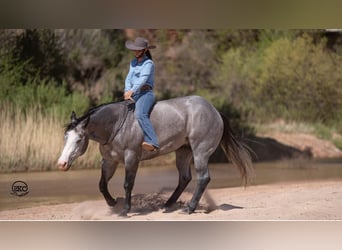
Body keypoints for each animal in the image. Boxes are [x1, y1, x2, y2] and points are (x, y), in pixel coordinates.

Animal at [56, 94, 254, 216]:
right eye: (65, 137)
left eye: (78, 140)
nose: (62, 164)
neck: (116, 125)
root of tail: (215, 111)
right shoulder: (109, 161)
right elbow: (102, 185)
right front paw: (113, 203)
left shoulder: (131, 157)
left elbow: (128, 184)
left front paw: (125, 210)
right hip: (183, 152)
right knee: (185, 178)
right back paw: (167, 205)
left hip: (200, 152)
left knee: (203, 178)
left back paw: (189, 208)